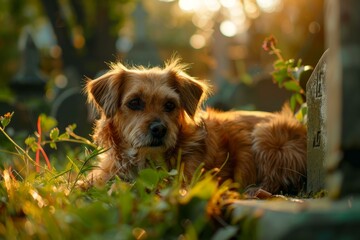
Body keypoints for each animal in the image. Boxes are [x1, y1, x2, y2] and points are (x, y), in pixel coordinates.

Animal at [83, 59, 306, 194]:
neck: (144, 158)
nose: (159, 129)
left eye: (170, 105)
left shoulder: (182, 182)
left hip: (269, 138)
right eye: (134, 102)